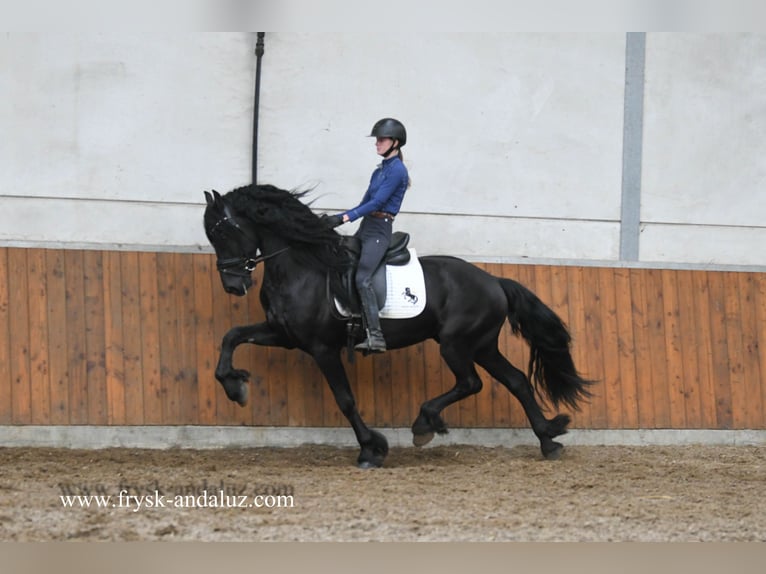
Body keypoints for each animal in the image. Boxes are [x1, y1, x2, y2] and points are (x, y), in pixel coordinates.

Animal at [204, 184, 592, 468]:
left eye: (221, 232)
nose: (233, 286)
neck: (302, 266)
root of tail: (494, 281)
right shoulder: (284, 336)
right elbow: (231, 336)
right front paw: (235, 387)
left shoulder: (321, 348)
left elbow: (345, 399)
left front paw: (371, 449)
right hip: (482, 345)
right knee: (517, 381)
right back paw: (548, 440)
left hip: (456, 343)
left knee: (471, 382)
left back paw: (424, 424)